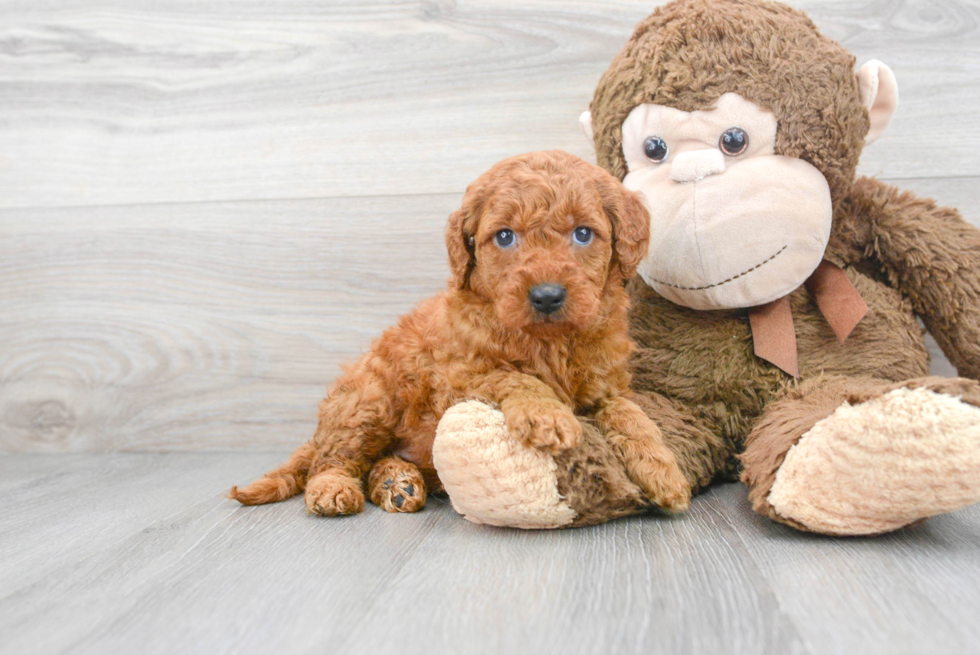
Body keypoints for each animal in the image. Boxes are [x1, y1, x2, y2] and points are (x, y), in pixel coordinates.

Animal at [230, 151, 688, 520]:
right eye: (504, 236)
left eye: (583, 233)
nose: (546, 295)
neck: (550, 340)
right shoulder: (458, 379)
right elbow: (512, 375)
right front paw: (547, 414)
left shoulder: (607, 384)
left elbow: (629, 414)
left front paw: (664, 471)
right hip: (367, 403)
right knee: (333, 458)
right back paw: (333, 488)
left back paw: (397, 484)